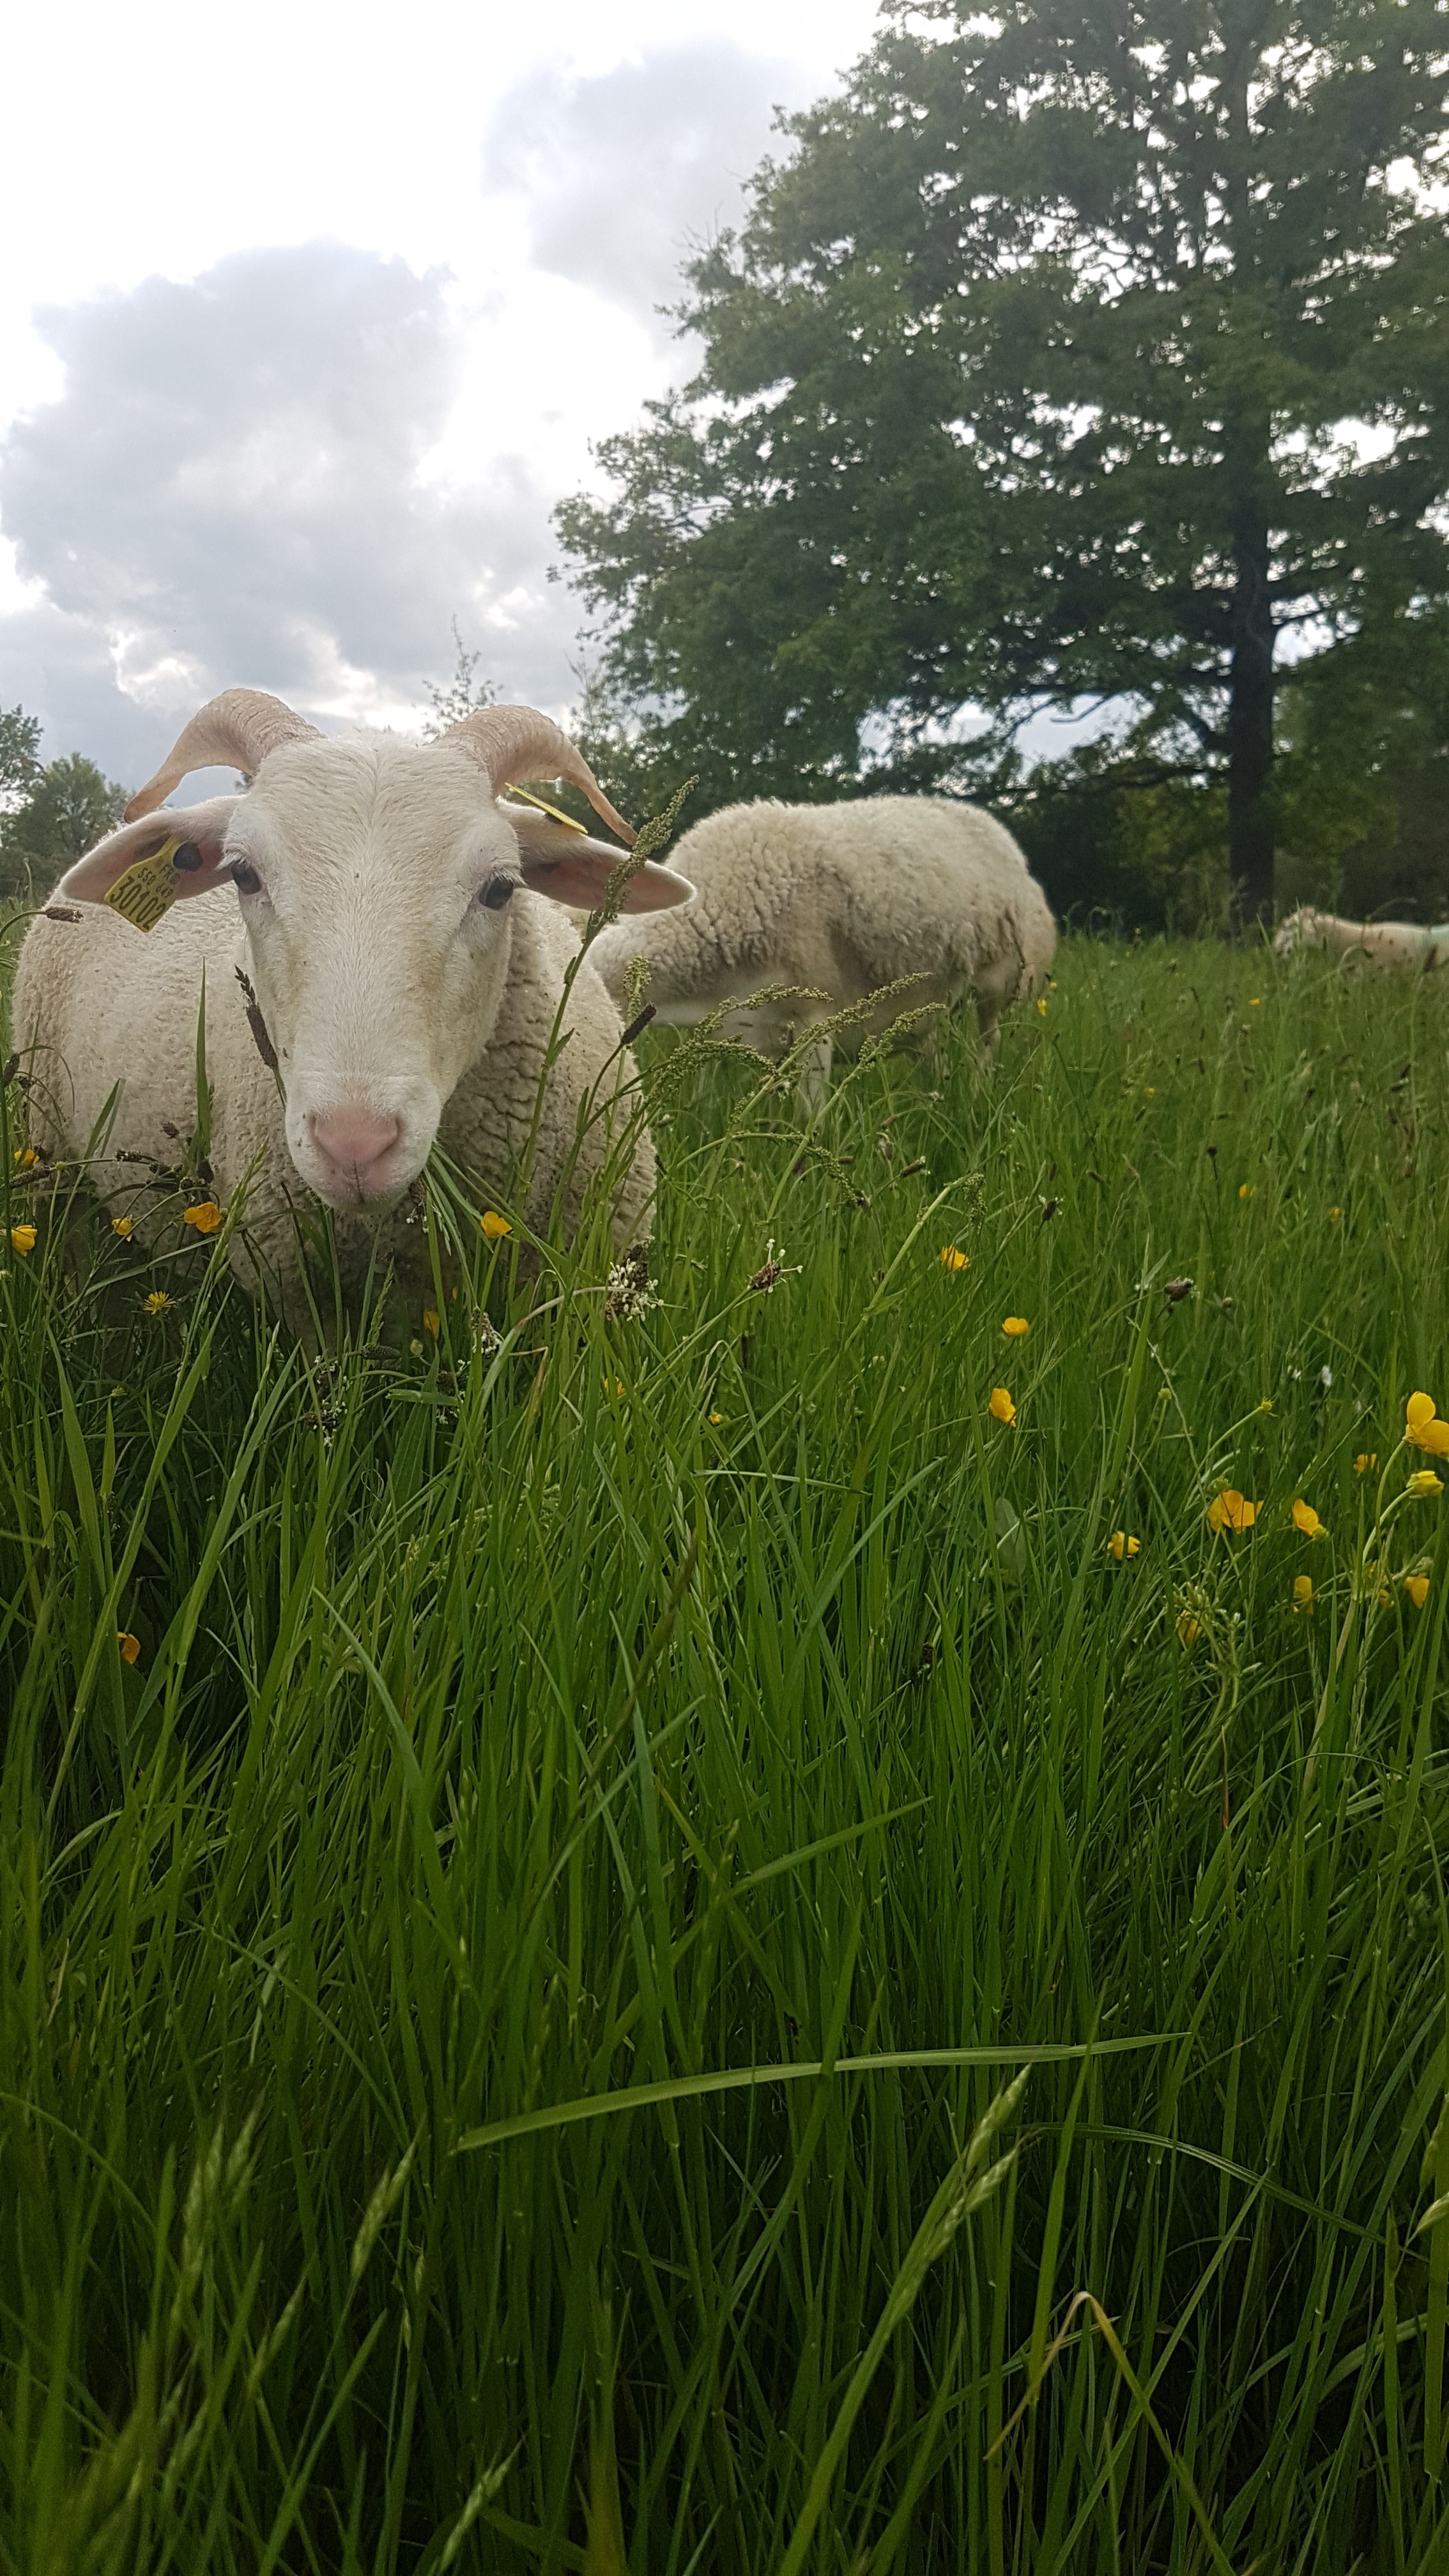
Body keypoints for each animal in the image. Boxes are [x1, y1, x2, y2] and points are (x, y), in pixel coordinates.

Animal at [580, 783, 1057, 1107]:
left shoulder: (816, 1019)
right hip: (925, 1002)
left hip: (999, 977)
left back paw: (976, 1096)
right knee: (932, 1053)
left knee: (989, 1041)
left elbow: (809, 1125)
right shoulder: (723, 1027)